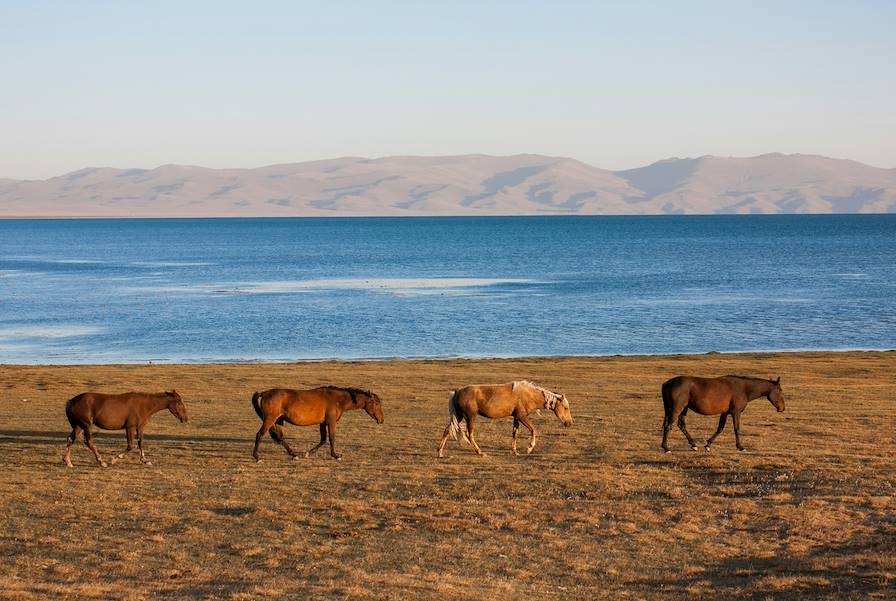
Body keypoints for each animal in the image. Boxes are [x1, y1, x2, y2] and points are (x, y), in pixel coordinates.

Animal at [250, 384, 384, 460]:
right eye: (377, 404)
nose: (382, 420)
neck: (338, 400)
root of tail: (264, 393)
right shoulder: (331, 422)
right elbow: (331, 438)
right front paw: (336, 456)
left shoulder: (323, 423)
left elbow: (323, 440)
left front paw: (308, 453)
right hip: (270, 419)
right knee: (260, 434)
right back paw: (257, 457)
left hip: (278, 420)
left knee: (280, 437)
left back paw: (294, 454)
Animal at [436, 380, 576, 460]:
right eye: (565, 407)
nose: (569, 423)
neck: (529, 394)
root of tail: (456, 392)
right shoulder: (522, 416)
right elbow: (533, 430)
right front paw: (529, 448)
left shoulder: (516, 417)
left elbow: (515, 433)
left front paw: (515, 451)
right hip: (470, 416)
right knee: (469, 434)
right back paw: (480, 452)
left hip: (459, 417)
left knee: (447, 430)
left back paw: (440, 453)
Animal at [656, 372, 784, 452]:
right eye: (780, 390)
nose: (782, 408)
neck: (744, 389)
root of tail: (667, 383)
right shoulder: (736, 412)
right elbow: (737, 429)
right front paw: (740, 447)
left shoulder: (725, 413)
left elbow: (720, 429)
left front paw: (708, 445)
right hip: (676, 409)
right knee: (668, 426)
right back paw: (666, 448)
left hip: (683, 410)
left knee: (681, 425)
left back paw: (693, 445)